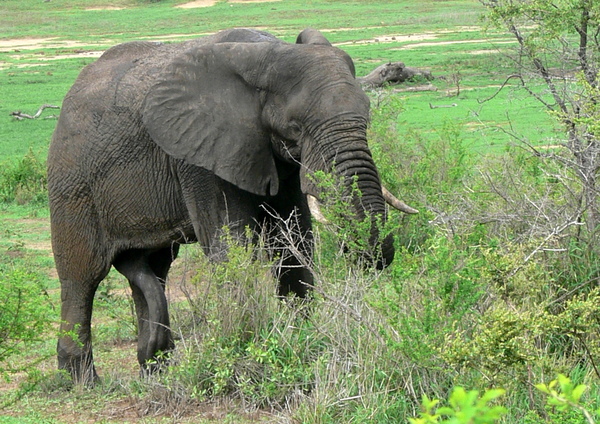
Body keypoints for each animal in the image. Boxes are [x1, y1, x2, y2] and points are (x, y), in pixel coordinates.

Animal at [48, 26, 418, 384]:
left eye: (367, 116)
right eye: (296, 127)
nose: (366, 258)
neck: (270, 54)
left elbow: (294, 240)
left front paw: (303, 341)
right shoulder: (201, 153)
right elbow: (231, 246)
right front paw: (246, 348)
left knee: (154, 267)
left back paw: (155, 370)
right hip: (72, 180)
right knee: (82, 274)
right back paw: (82, 380)